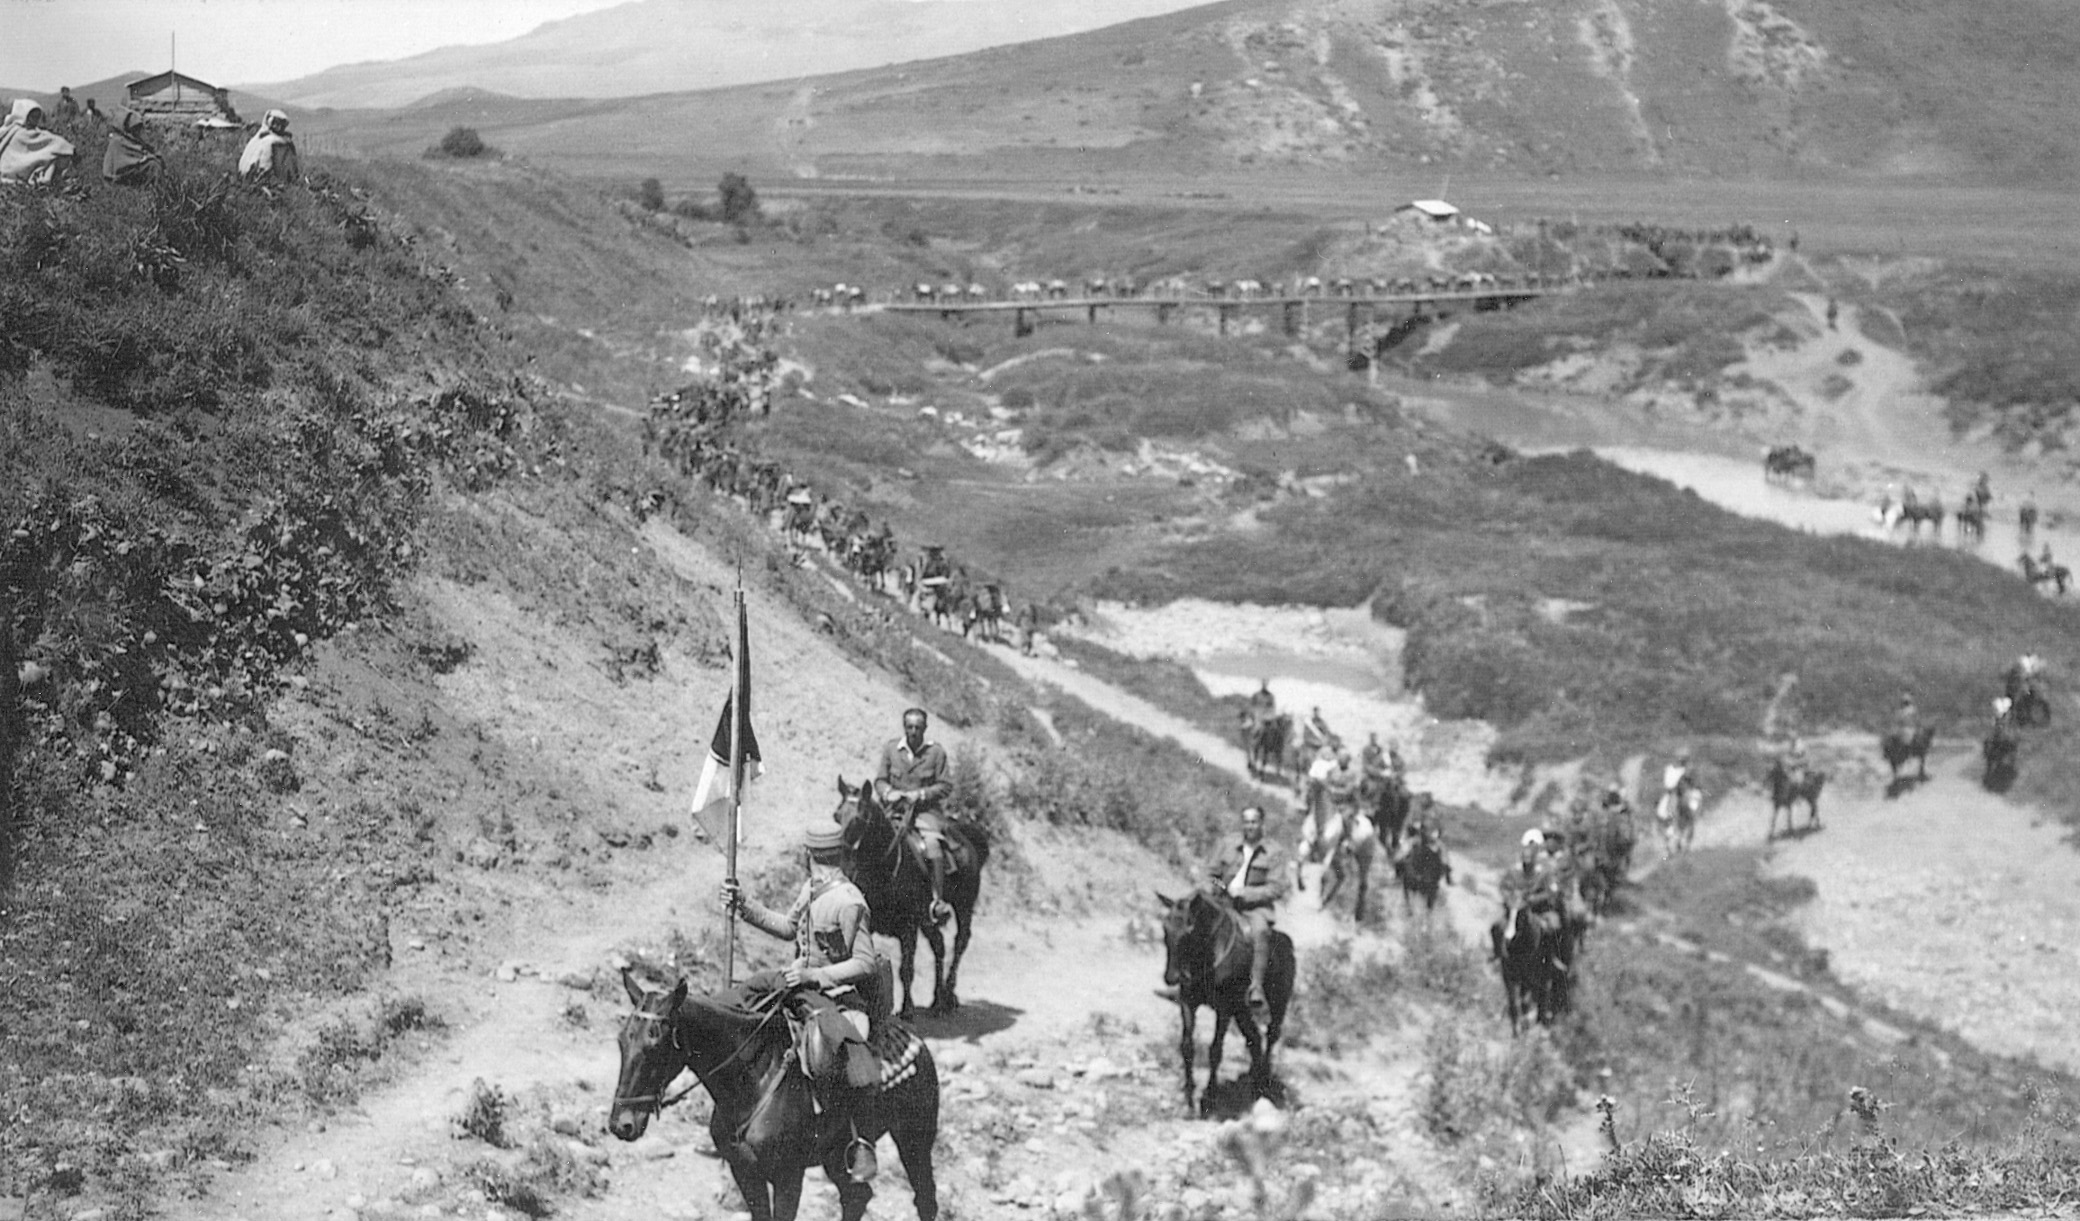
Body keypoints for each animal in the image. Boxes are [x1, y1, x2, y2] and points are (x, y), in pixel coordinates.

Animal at [607, 973, 944, 1221]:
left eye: (656, 1044)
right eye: (621, 1041)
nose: (621, 1125)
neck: (753, 1083)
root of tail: (913, 1037)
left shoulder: (788, 1177)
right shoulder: (745, 1172)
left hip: (914, 1139)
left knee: (925, 1199)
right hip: (836, 1155)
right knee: (857, 1197)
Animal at [832, 782, 985, 1023]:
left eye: (859, 818)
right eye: (836, 816)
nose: (844, 865)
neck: (883, 870)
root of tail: (967, 839)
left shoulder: (909, 927)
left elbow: (906, 969)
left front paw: (907, 1010)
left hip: (963, 906)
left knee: (960, 943)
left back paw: (948, 997)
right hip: (928, 920)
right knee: (939, 946)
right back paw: (937, 1000)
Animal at [1156, 890, 1281, 1114]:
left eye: (1189, 931)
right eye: (1165, 928)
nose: (1172, 977)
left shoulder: (1224, 1009)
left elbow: (1215, 1051)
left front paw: (1210, 1098)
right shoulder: (1188, 1002)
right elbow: (1187, 1045)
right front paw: (1189, 1098)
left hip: (1276, 1008)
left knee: (1271, 1037)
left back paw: (1264, 1083)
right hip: (1242, 1012)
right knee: (1255, 1040)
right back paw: (1254, 1085)